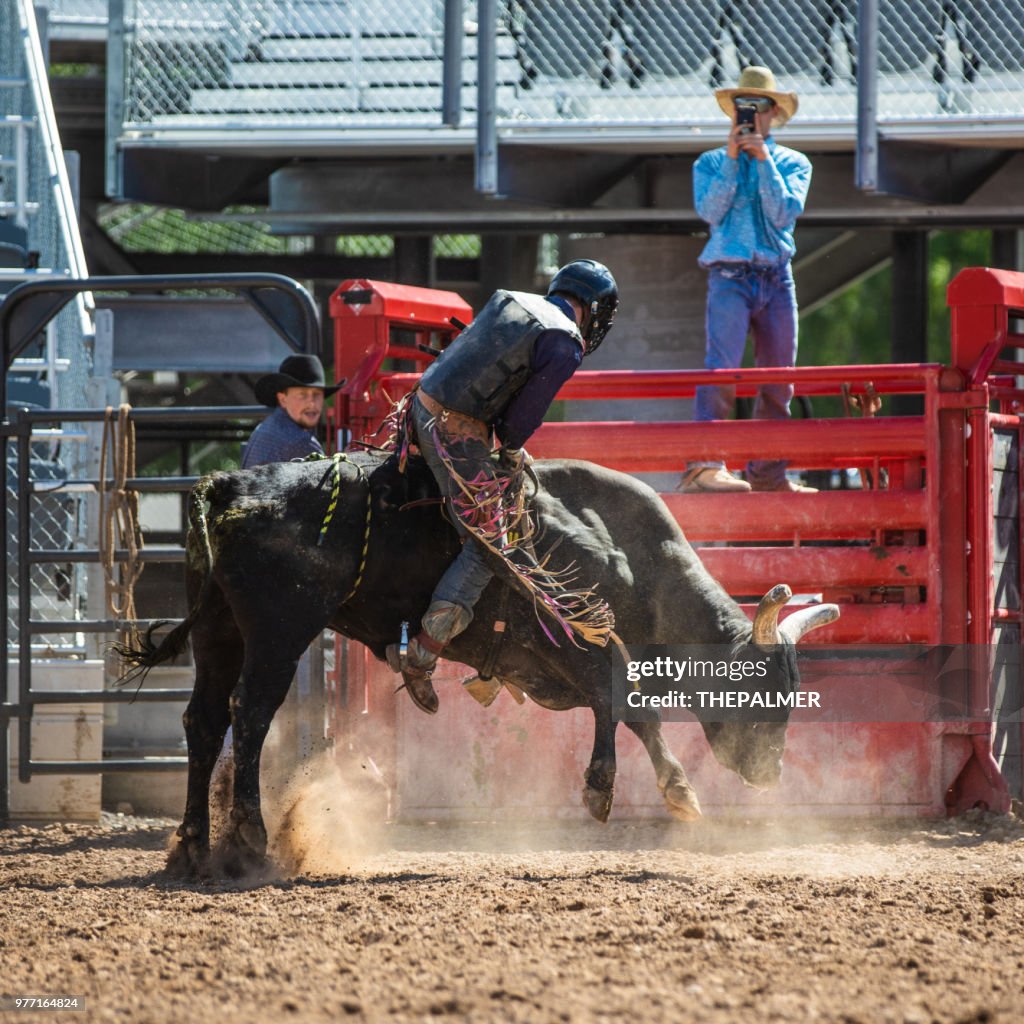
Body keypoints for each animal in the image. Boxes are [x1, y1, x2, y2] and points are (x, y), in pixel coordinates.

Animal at [120, 450, 838, 878]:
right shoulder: (571, 639)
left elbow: (631, 708)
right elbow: (617, 699)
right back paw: (248, 838)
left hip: (219, 629)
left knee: (204, 721)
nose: (770, 774)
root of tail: (230, 485)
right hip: (278, 629)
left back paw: (193, 845)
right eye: (764, 689)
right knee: (251, 714)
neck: (630, 554)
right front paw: (603, 787)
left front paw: (677, 791)